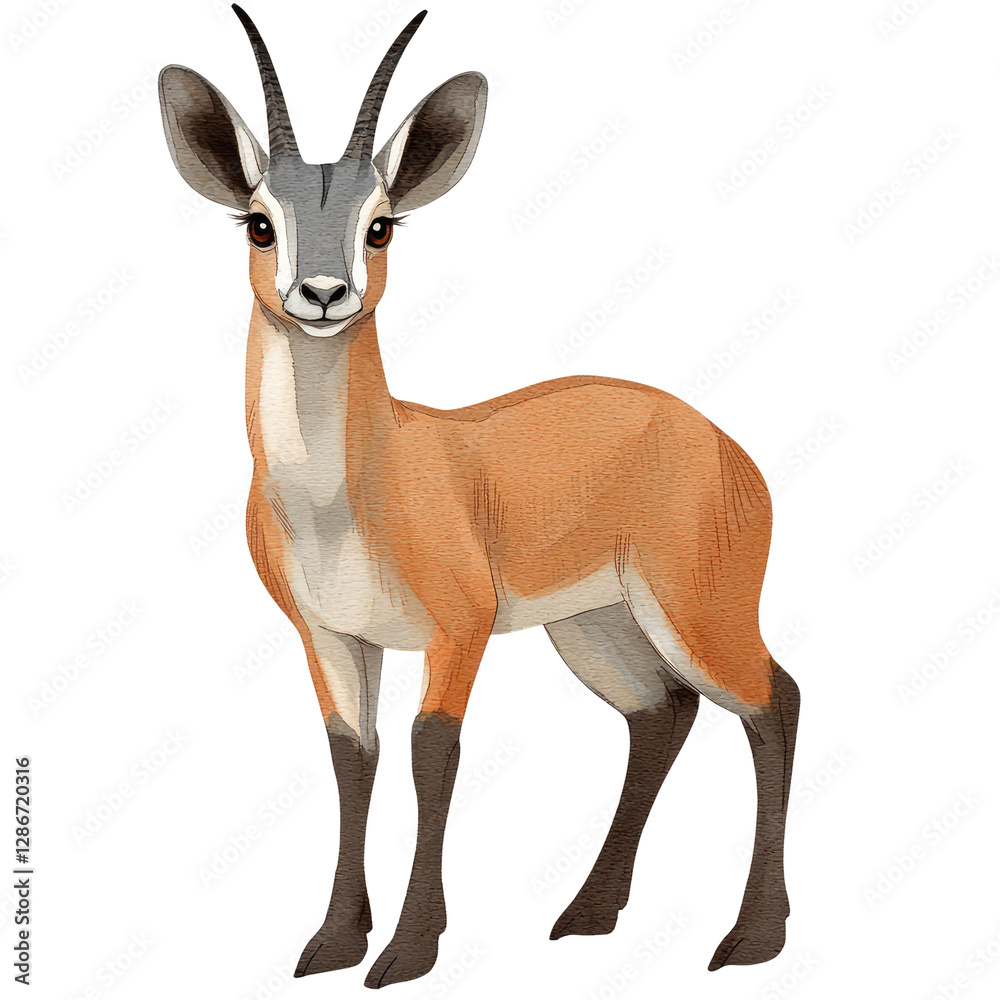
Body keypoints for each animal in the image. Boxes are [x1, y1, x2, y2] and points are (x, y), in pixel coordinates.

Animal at [159, 5, 800, 988]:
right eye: (258, 223)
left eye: (382, 225)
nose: (322, 293)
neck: (359, 482)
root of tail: (719, 440)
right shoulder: (331, 636)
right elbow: (353, 756)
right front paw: (333, 941)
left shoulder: (456, 630)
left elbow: (433, 752)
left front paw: (407, 950)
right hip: (594, 625)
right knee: (663, 714)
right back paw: (588, 913)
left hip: (696, 607)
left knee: (773, 700)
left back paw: (751, 938)